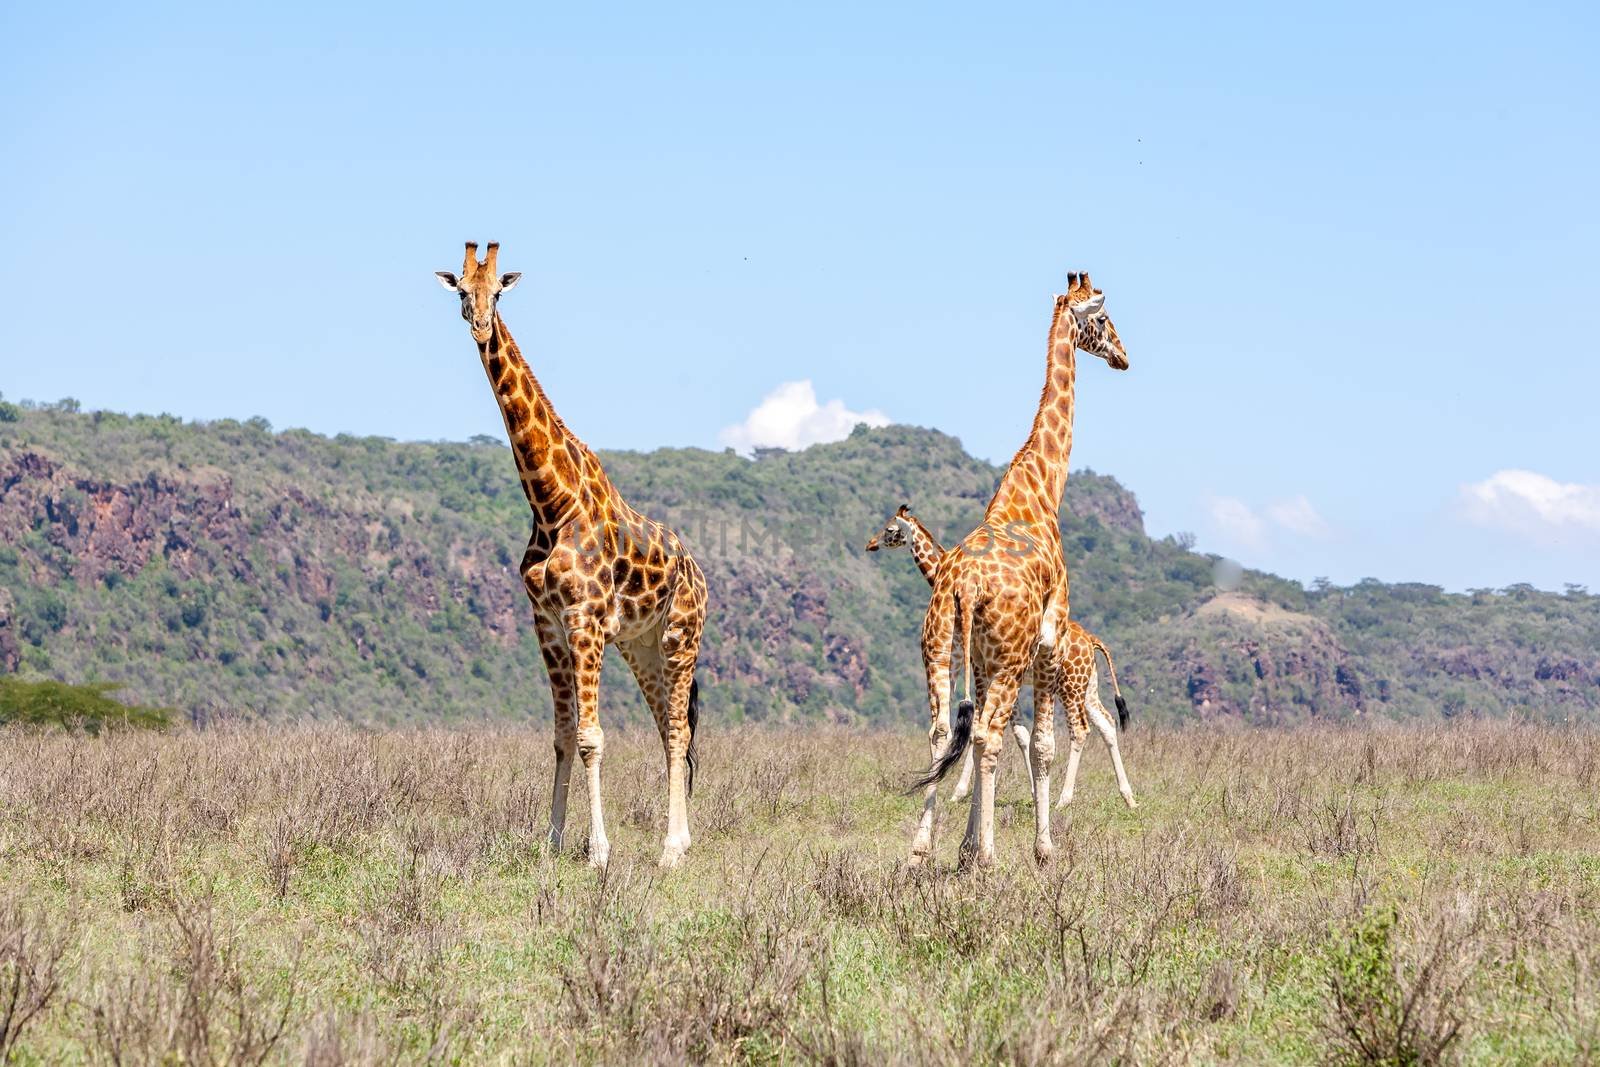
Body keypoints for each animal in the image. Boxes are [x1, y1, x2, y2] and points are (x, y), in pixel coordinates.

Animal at [441, 241, 710, 870]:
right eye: (461, 290)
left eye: (499, 291)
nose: (480, 326)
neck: (550, 501)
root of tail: (701, 573)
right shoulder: (547, 625)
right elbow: (563, 736)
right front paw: (552, 844)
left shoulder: (584, 621)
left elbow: (591, 738)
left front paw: (599, 852)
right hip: (641, 647)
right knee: (668, 729)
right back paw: (680, 841)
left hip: (680, 637)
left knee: (678, 732)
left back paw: (670, 850)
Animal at [864, 508, 1139, 809]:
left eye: (890, 530)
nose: (871, 544)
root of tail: (1092, 641)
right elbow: (1018, 733)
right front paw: (1029, 790)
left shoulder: (982, 669)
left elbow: (982, 729)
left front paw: (961, 792)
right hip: (1087, 687)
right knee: (1107, 723)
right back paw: (1128, 797)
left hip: (1070, 686)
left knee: (1080, 730)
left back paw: (1063, 799)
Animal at [908, 275, 1132, 870]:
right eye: (1104, 320)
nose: (1124, 356)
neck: (1041, 488)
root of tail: (963, 585)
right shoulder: (1047, 640)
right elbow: (1041, 746)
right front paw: (1041, 846)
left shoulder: (984, 659)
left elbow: (994, 740)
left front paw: (963, 845)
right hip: (1010, 660)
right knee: (988, 733)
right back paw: (990, 858)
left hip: (940, 649)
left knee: (945, 729)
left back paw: (921, 846)